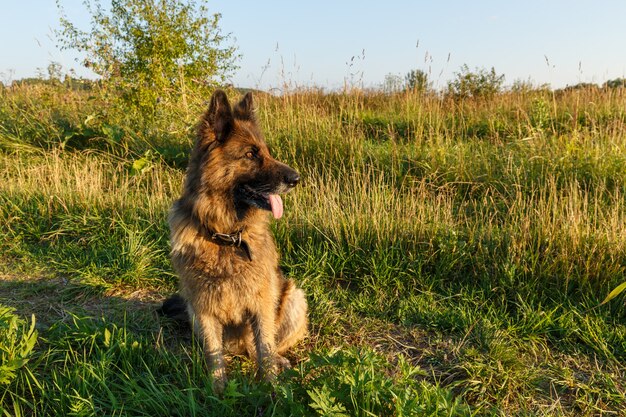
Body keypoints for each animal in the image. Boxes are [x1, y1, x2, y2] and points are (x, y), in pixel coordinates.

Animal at [161, 89, 308, 392]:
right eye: (251, 154)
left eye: (266, 152)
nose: (296, 179)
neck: (226, 237)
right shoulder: (203, 309)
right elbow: (214, 354)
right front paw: (217, 392)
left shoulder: (261, 303)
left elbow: (265, 348)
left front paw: (271, 389)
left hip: (293, 298)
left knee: (261, 347)